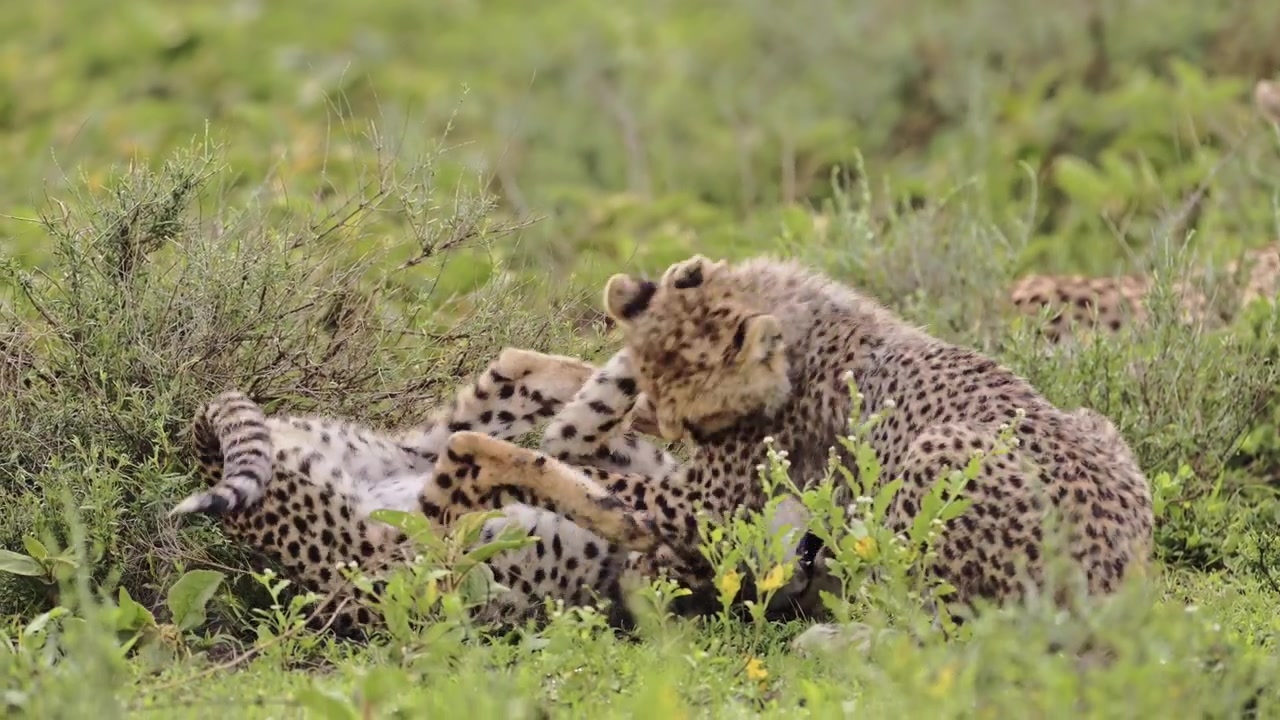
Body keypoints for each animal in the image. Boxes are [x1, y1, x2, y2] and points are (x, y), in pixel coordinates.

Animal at [427, 253, 1155, 654]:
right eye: (664, 407)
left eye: (692, 415)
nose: (660, 424)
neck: (800, 330)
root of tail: (1119, 578)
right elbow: (574, 419)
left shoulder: (710, 508)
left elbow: (574, 473)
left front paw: (476, 459)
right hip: (1097, 426)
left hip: (938, 456)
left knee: (950, 627)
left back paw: (832, 638)